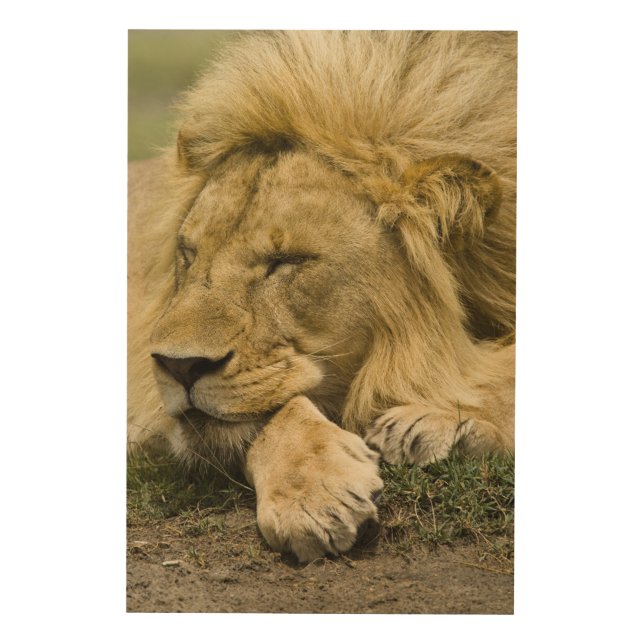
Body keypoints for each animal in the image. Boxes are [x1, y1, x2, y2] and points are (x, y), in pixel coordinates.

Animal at [128, 31, 516, 562]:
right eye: (188, 253)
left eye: (288, 260)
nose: (178, 366)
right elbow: (275, 407)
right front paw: (314, 496)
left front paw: (438, 422)